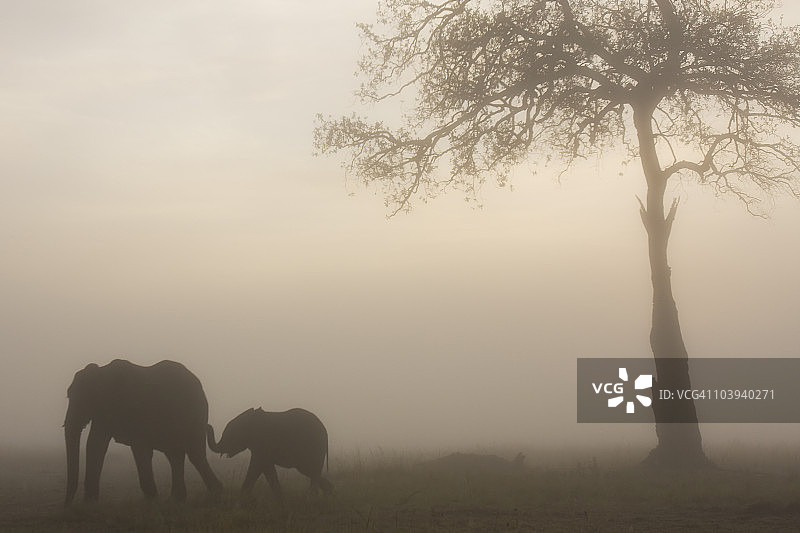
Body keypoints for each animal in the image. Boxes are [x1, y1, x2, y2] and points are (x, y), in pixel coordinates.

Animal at [64, 359, 223, 504]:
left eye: (85, 398)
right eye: (69, 396)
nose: (67, 505)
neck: (102, 373)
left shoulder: (135, 409)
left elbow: (140, 449)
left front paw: (152, 499)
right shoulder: (104, 412)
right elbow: (96, 445)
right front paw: (89, 503)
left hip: (195, 415)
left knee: (194, 454)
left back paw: (214, 493)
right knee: (175, 455)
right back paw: (177, 499)